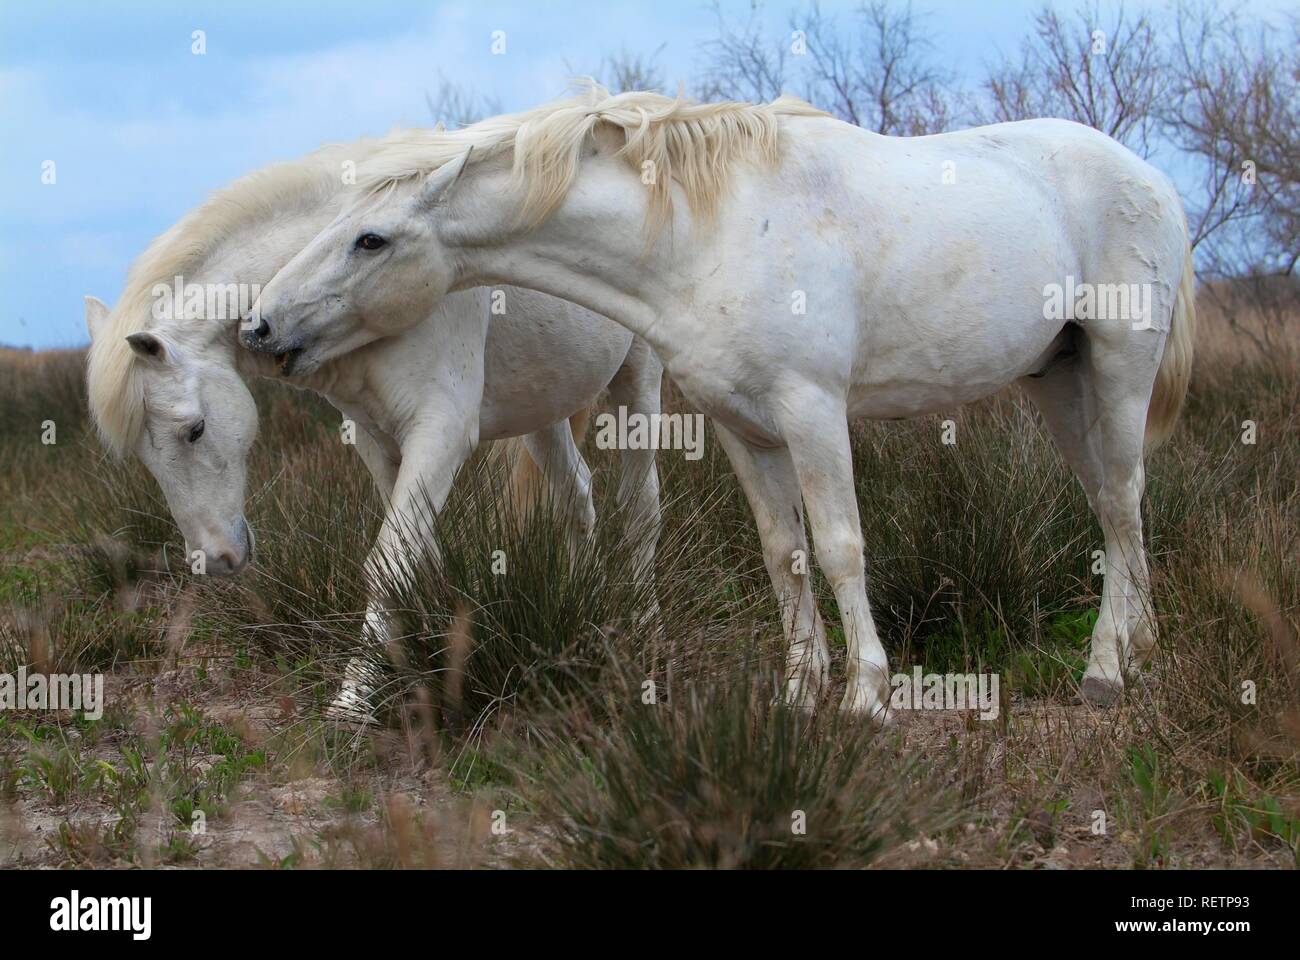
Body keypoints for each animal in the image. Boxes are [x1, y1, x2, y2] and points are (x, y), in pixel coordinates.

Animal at [86, 134, 665, 718]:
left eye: (196, 430)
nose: (217, 559)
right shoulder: (376, 437)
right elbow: (416, 555)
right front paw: (426, 652)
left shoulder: (439, 432)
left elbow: (390, 560)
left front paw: (353, 698)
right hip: (544, 412)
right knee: (578, 496)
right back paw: (585, 604)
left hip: (638, 388)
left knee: (640, 505)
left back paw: (644, 625)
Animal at [245, 85, 1196, 718]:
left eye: (371, 239)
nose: (260, 327)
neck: (706, 231)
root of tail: (1150, 176)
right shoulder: (747, 428)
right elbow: (784, 554)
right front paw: (800, 694)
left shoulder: (814, 412)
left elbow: (841, 548)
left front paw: (868, 697)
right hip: (1060, 381)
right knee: (1115, 507)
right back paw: (1140, 650)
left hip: (1117, 372)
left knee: (1119, 506)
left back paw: (1107, 672)